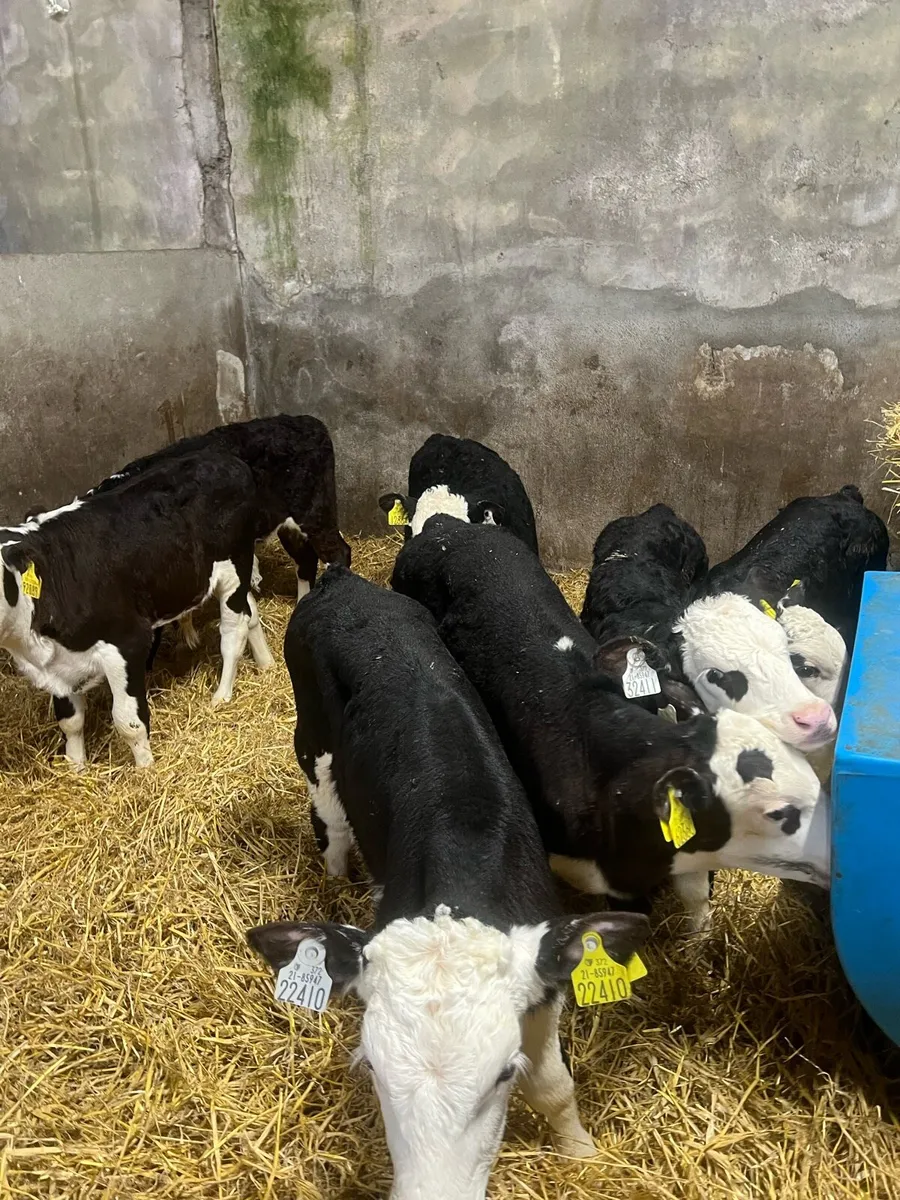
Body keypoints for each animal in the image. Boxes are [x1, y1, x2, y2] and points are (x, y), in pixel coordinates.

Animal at [0, 450, 273, 768]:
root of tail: (225, 458)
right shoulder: (59, 666)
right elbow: (70, 722)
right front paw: (76, 766)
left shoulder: (127, 642)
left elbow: (128, 722)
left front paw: (145, 769)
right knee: (250, 614)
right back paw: (266, 663)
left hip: (234, 567)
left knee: (232, 632)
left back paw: (221, 696)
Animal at [250, 566, 649, 1199]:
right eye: (370, 1067)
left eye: (503, 1073)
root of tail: (341, 580)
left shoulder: (543, 985)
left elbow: (554, 1087)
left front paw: (581, 1153)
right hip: (312, 747)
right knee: (330, 826)